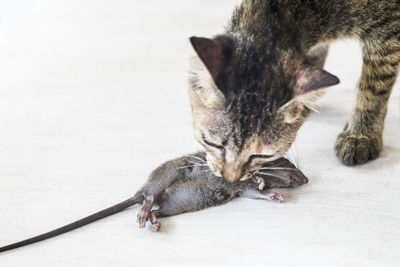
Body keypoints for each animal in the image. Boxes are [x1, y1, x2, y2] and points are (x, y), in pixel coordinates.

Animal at [188, 0, 400, 183]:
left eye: (262, 154)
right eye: (211, 143)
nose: (229, 179)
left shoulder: (388, 28)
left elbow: (374, 85)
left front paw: (361, 135)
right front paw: (305, 106)